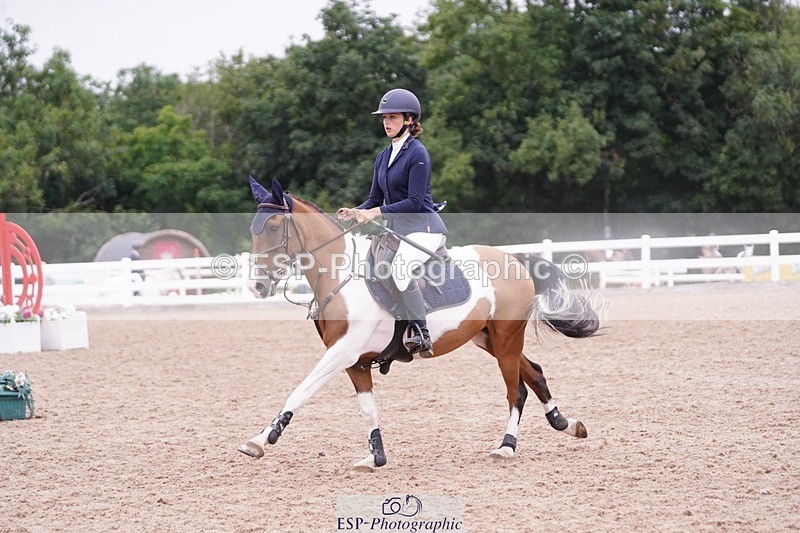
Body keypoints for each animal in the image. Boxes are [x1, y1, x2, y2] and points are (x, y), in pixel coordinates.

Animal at [238, 177, 600, 471]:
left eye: (273, 227)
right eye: (253, 230)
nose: (257, 287)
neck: (340, 274)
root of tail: (514, 259)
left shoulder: (343, 351)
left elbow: (301, 390)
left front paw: (262, 439)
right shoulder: (355, 361)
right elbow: (367, 409)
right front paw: (376, 457)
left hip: (507, 338)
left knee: (517, 391)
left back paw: (506, 447)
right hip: (489, 339)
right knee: (535, 374)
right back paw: (567, 424)